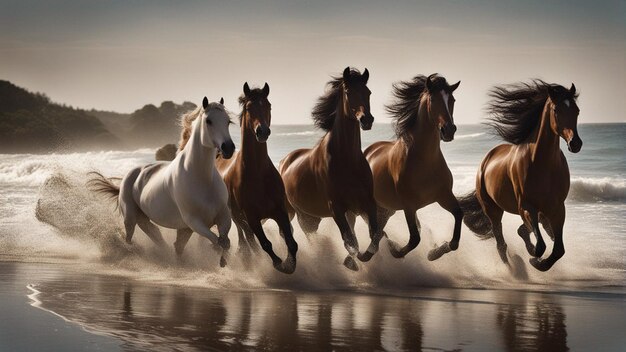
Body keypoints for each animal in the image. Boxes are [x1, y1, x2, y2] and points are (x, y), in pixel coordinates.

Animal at [88, 97, 234, 266]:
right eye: (208, 121)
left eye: (228, 121)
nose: (229, 148)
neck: (202, 178)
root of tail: (129, 175)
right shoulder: (194, 221)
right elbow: (217, 240)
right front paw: (220, 257)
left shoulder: (223, 216)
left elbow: (225, 241)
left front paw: (223, 260)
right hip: (130, 217)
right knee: (130, 238)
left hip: (151, 220)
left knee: (161, 237)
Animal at [280, 66, 378, 270]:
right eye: (348, 92)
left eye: (368, 92)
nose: (367, 120)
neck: (347, 160)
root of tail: (285, 161)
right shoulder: (336, 208)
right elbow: (350, 242)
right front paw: (351, 262)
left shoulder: (367, 203)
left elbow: (374, 237)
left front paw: (356, 259)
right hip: (300, 216)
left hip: (312, 217)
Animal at [364, 74, 460, 262]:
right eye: (433, 99)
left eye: (452, 99)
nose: (449, 130)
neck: (425, 161)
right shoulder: (409, 205)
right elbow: (415, 238)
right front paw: (396, 251)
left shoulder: (443, 196)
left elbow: (458, 222)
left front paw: (434, 253)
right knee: (372, 229)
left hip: (387, 208)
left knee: (378, 229)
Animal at [458, 80, 580, 272]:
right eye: (556, 110)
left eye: (577, 110)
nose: (575, 143)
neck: (542, 164)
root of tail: (486, 160)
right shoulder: (527, 207)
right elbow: (540, 246)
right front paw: (534, 259)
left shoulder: (557, 208)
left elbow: (558, 249)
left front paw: (540, 262)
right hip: (493, 210)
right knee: (501, 244)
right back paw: (515, 270)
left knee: (526, 231)